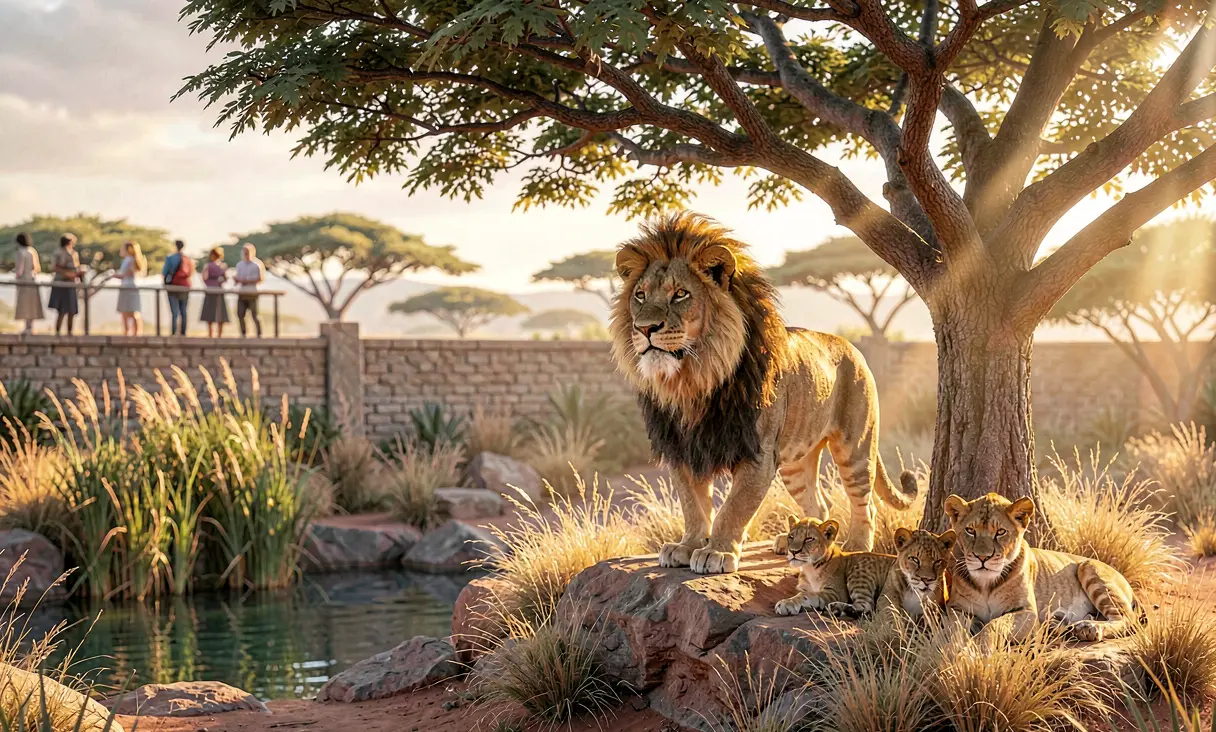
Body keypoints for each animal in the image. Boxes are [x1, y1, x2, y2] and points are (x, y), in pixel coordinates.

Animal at [610, 212, 917, 574]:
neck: (693, 380)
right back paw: (795, 541)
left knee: (864, 504)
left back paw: (855, 546)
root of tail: (851, 346)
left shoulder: (757, 451)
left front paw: (716, 552)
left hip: (855, 447)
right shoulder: (682, 449)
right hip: (795, 462)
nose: (644, 328)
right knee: (820, 503)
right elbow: (692, 505)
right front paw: (687, 546)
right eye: (640, 295)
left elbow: (734, 507)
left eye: (681, 294)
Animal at [943, 492, 1138, 642]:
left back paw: (1088, 628)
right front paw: (957, 647)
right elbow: (954, 629)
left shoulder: (1028, 612)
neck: (986, 584)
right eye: (970, 530)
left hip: (1089, 567)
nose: (982, 558)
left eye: (1000, 532)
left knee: (1128, 619)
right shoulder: (956, 608)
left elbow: (995, 624)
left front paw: (977, 649)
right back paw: (1063, 625)